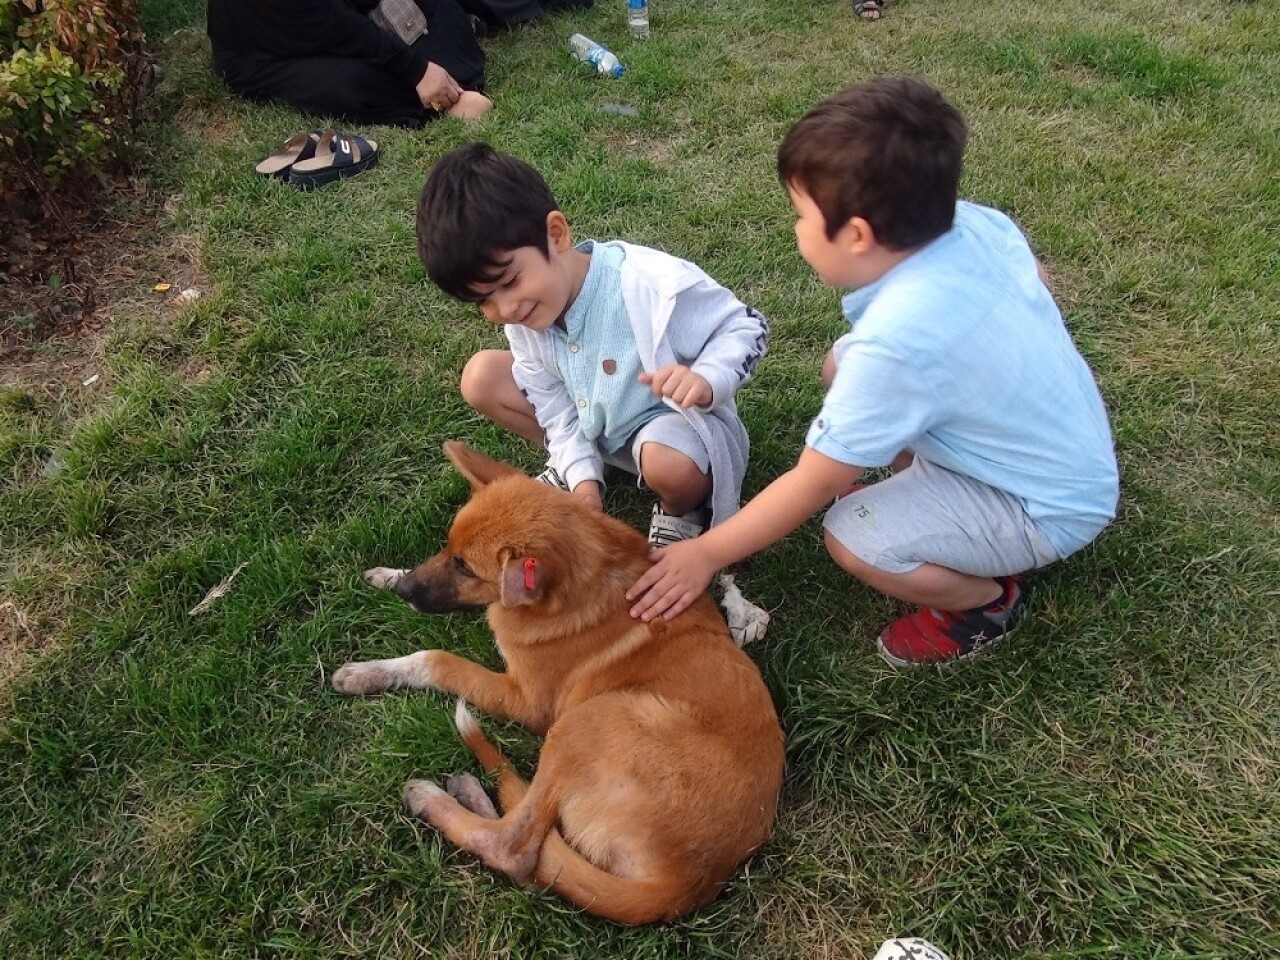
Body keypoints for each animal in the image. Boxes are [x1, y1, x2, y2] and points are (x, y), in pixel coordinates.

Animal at [330, 442, 783, 926]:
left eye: (466, 568)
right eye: (448, 549)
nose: (406, 594)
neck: (585, 574)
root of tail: (684, 885)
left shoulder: (526, 702)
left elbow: (437, 660)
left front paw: (368, 672)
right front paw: (389, 575)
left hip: (581, 722)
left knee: (515, 849)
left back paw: (435, 799)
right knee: (537, 849)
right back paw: (473, 791)